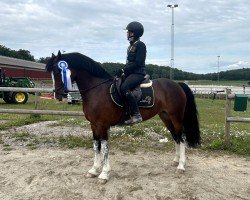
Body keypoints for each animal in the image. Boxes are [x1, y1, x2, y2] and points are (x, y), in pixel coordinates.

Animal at [45, 50, 201, 184]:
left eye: (59, 71)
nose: (57, 95)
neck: (97, 90)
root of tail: (177, 84)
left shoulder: (103, 125)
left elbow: (105, 148)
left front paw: (104, 174)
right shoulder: (94, 125)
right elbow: (96, 147)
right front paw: (94, 170)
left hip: (176, 117)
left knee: (181, 136)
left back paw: (181, 166)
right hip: (165, 117)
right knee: (175, 136)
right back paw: (176, 160)